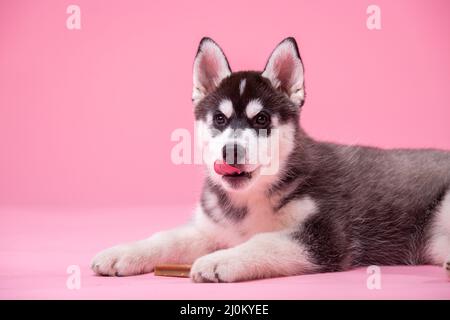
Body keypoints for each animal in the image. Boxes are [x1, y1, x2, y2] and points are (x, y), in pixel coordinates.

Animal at [91, 38, 450, 282]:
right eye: (219, 119)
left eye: (261, 119)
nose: (231, 151)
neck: (251, 199)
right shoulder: (212, 228)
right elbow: (166, 238)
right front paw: (123, 252)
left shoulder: (326, 238)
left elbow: (265, 241)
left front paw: (220, 261)